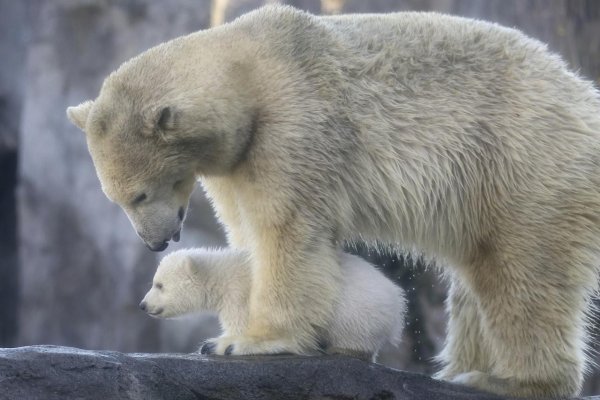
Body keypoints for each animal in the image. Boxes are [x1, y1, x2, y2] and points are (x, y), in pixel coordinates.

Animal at [67, 4, 600, 398]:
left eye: (139, 193)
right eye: (115, 198)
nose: (155, 242)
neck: (251, 69)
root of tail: (583, 95)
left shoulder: (294, 125)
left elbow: (287, 230)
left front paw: (245, 342)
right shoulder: (236, 161)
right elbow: (246, 229)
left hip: (523, 161)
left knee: (523, 273)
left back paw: (508, 379)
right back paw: (456, 369)